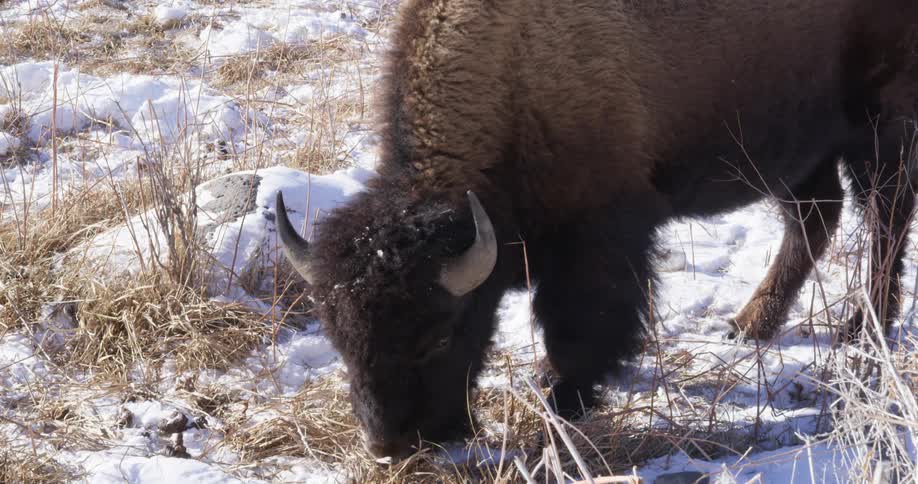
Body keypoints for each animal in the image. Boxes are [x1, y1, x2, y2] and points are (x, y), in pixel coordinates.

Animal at [276, 0, 918, 458]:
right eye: (339, 337)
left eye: (436, 336)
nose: (390, 445)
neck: (512, 75)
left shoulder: (600, 239)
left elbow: (584, 326)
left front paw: (562, 400)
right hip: (798, 148)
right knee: (816, 220)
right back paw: (749, 325)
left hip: (879, 127)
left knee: (885, 218)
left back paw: (864, 333)